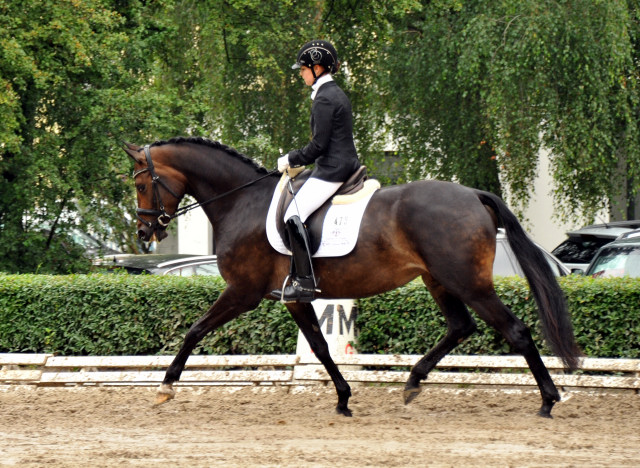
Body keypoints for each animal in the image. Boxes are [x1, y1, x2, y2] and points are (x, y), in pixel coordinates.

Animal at [122, 135, 584, 416]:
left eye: (142, 184)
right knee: (460, 326)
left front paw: (166, 386)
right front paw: (343, 398)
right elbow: (321, 347)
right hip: (439, 280)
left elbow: (194, 331)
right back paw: (412, 382)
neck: (242, 202)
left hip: (468, 282)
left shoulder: (242, 291)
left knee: (515, 330)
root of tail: (472, 193)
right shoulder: (293, 298)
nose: (145, 233)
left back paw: (548, 400)